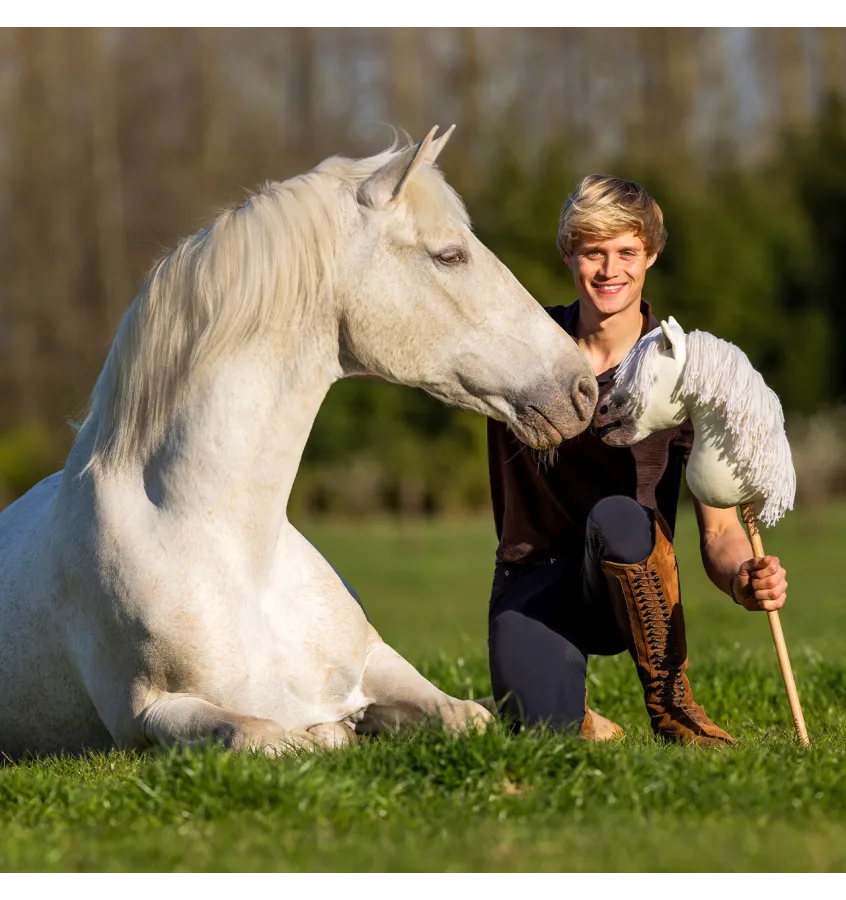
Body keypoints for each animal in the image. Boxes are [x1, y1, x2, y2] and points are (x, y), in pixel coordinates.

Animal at [0, 126, 599, 759]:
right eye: (450, 255)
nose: (581, 387)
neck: (232, 549)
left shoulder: (375, 661)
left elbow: (465, 716)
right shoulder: (147, 716)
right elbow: (270, 736)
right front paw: (332, 731)